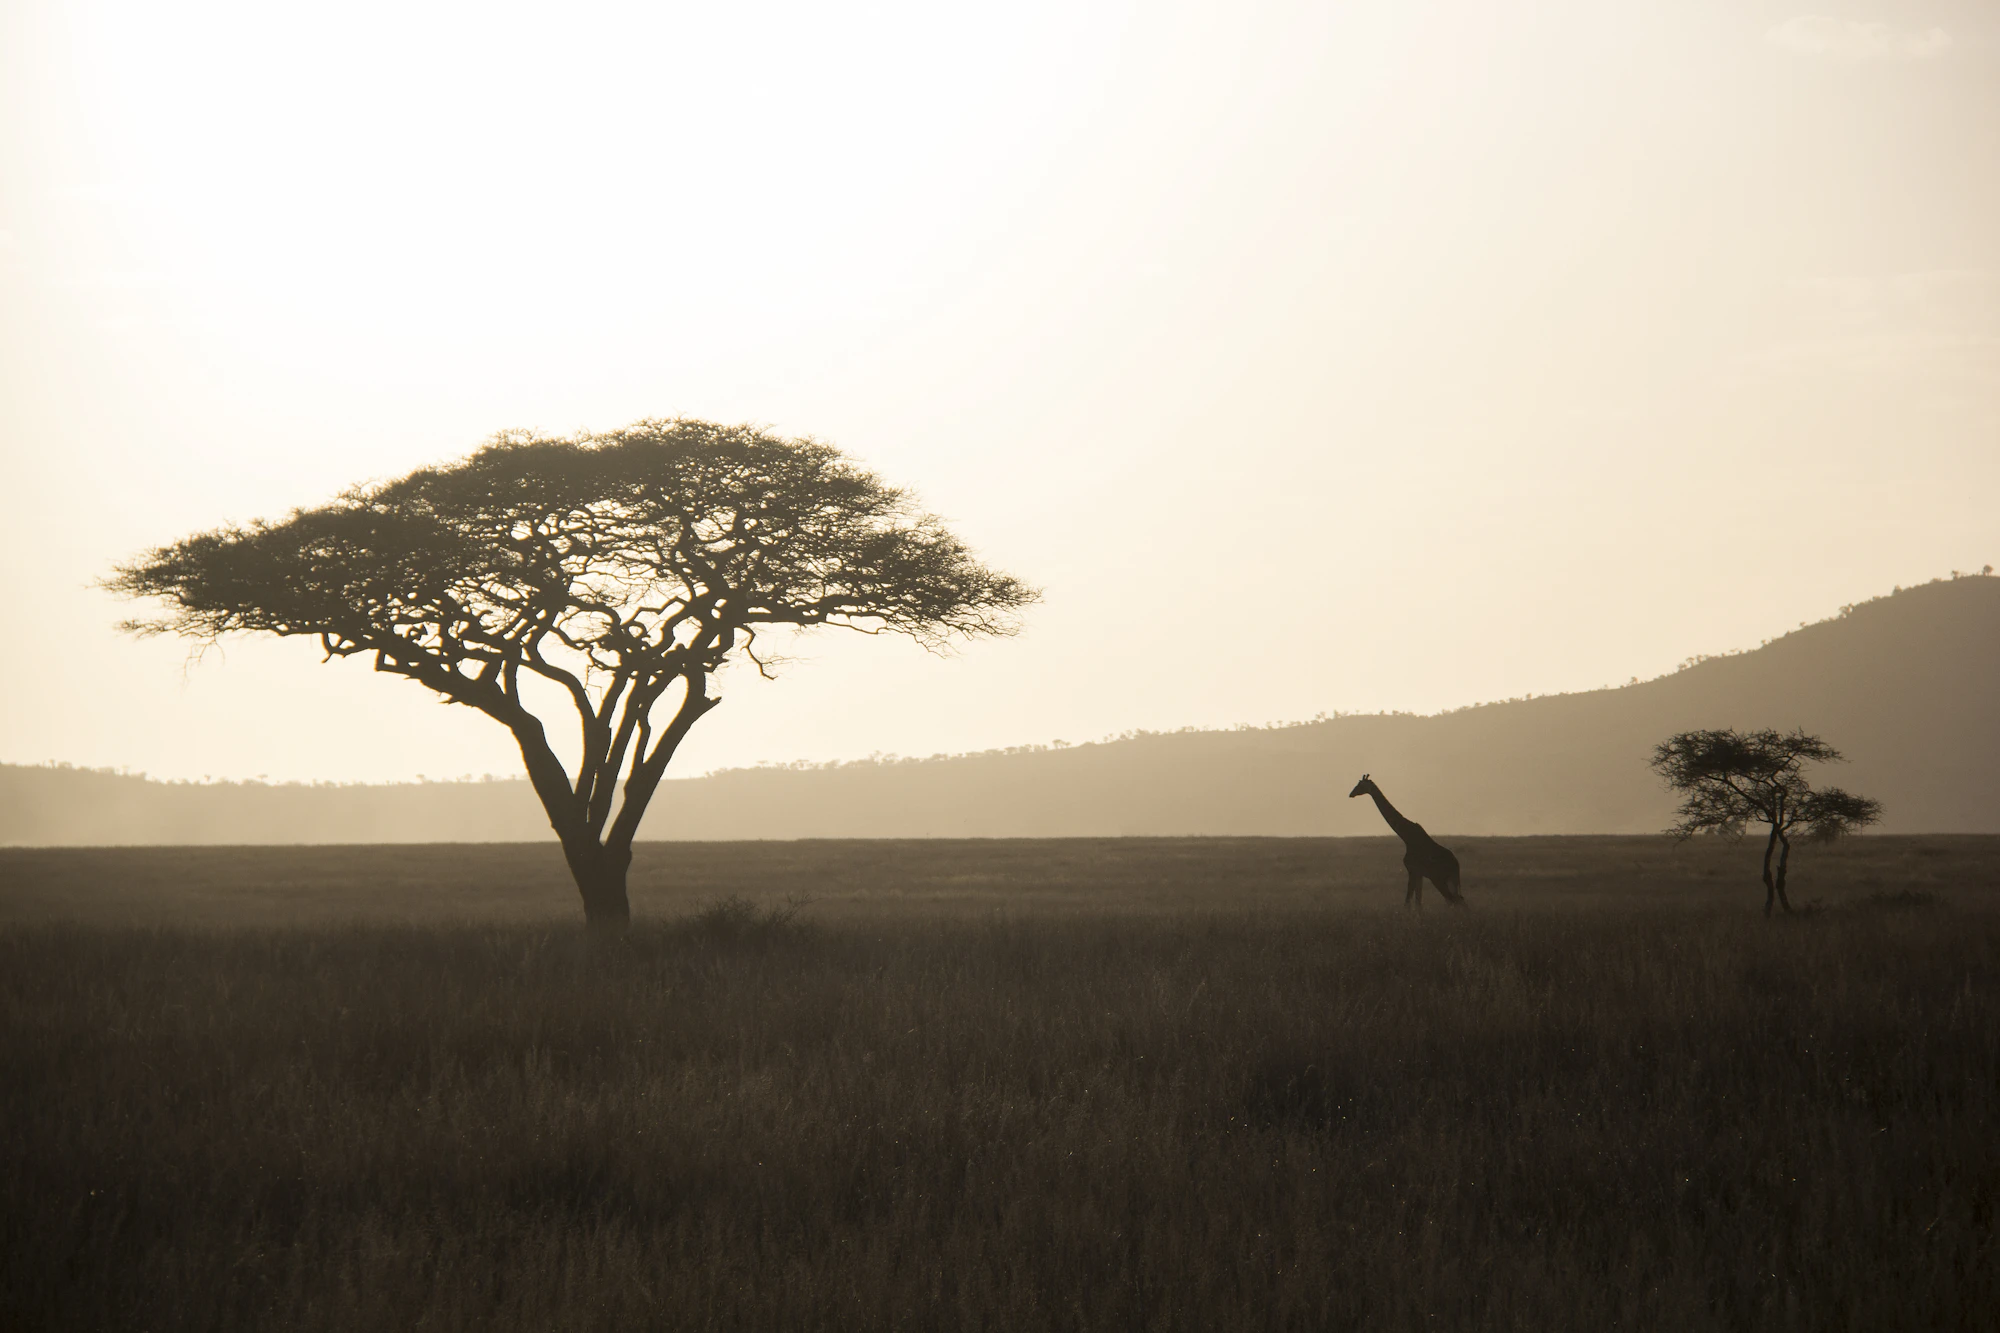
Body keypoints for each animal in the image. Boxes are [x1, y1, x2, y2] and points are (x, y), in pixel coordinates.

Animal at [1348, 774, 1464, 908]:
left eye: (1360, 785)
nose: (1351, 794)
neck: (1406, 837)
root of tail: (1456, 865)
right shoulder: (1419, 874)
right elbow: (1418, 903)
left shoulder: (1412, 870)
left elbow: (1408, 902)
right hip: (1449, 880)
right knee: (1459, 901)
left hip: (1439, 879)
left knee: (1454, 901)